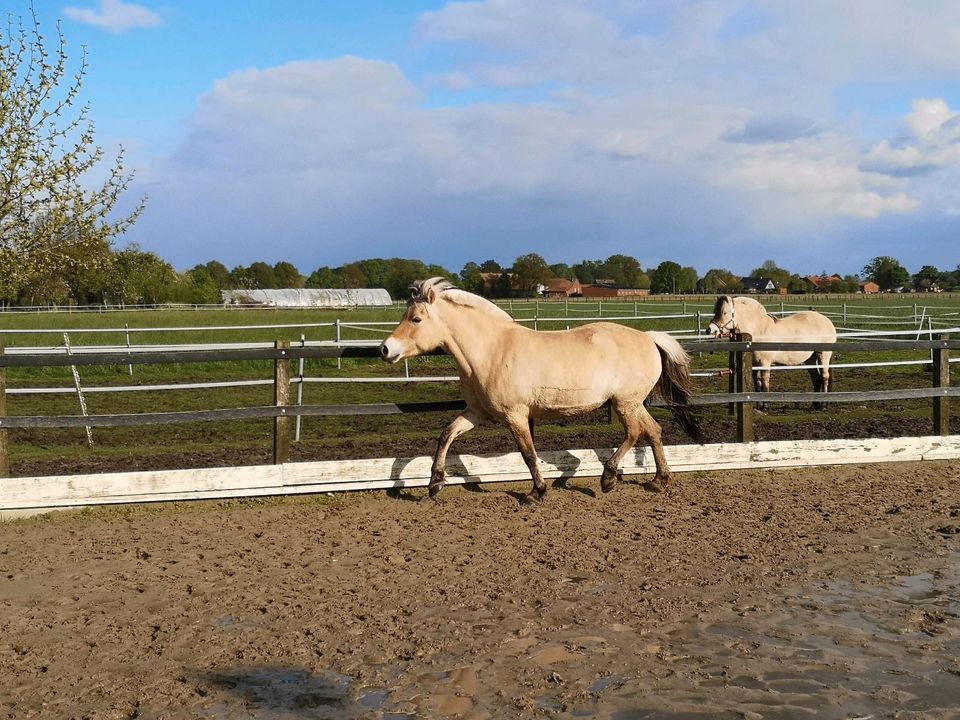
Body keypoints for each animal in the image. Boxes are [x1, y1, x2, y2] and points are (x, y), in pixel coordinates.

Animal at [378, 278, 700, 504]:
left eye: (416, 319)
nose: (385, 349)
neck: (491, 351)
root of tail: (648, 337)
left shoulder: (515, 416)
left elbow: (528, 453)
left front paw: (537, 493)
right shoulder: (476, 413)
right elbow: (446, 434)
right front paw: (435, 484)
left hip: (625, 403)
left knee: (634, 433)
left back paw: (608, 479)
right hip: (633, 403)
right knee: (654, 431)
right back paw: (658, 481)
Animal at [704, 296, 832, 410]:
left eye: (724, 313)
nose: (710, 330)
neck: (758, 330)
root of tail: (827, 320)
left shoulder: (764, 364)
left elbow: (765, 385)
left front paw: (765, 407)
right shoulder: (754, 364)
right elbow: (757, 384)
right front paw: (758, 406)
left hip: (823, 355)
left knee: (824, 377)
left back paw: (824, 405)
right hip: (810, 359)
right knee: (816, 378)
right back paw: (816, 404)